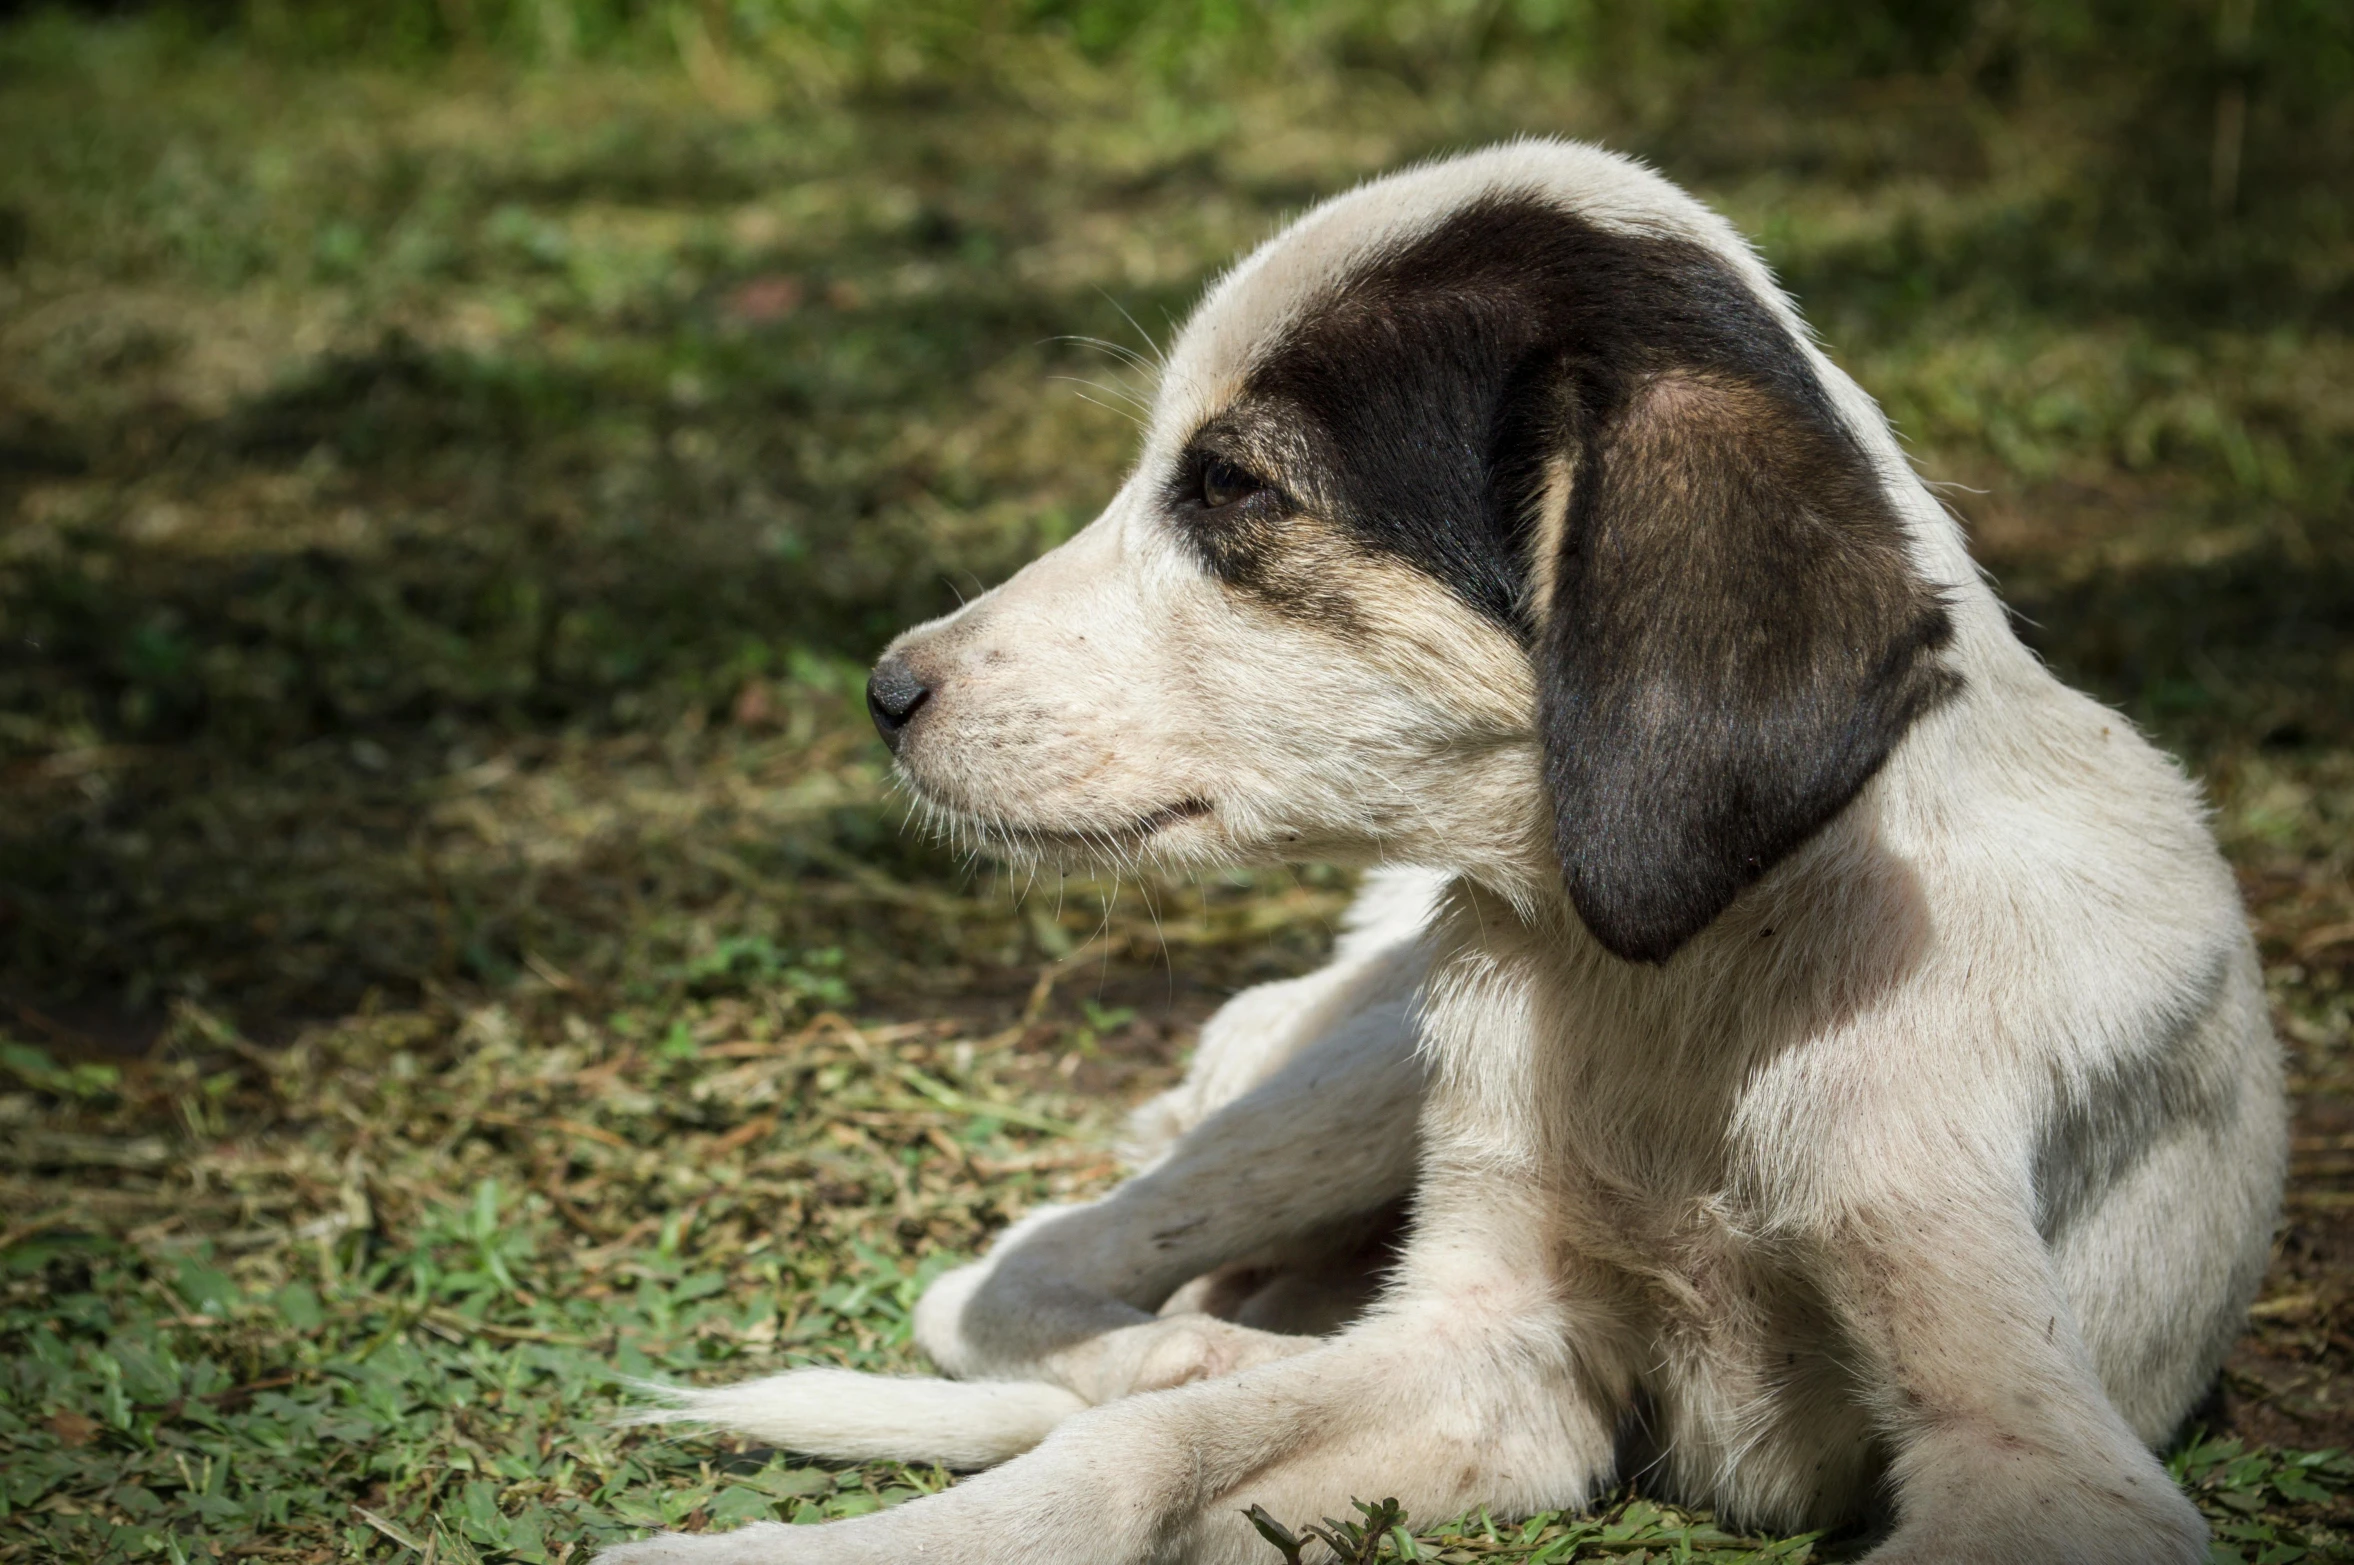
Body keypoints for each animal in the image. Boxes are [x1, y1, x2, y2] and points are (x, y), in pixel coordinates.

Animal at [602, 137, 2278, 1562]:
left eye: (1232, 486)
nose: (884, 693)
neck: (1697, 963)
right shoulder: (1499, 1353)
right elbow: (1125, 1457)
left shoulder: (2034, 1451)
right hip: (1361, 1067)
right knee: (1010, 1276)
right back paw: (1183, 1341)